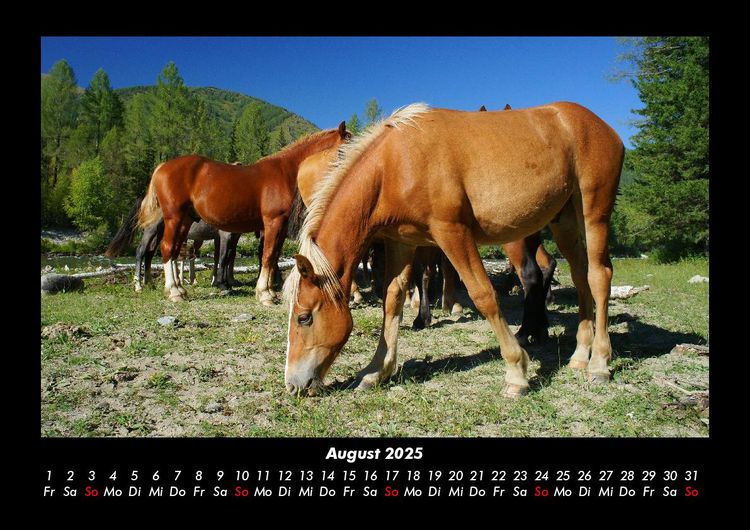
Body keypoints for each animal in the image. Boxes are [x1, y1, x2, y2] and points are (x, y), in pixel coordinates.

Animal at [136, 123, 351, 305]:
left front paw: (270, 291)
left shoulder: (280, 227)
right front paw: (264, 294)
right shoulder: (273, 222)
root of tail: (162, 167)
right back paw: (173, 291)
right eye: (346, 146)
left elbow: (274, 256)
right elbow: (267, 255)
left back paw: (179, 289)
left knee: (174, 251)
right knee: (166, 248)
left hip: (185, 221)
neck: (285, 171)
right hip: (174, 218)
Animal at [283, 102, 623, 398]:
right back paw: (579, 355)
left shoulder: (452, 233)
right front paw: (376, 370)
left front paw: (516, 373)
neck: (396, 162)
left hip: (594, 215)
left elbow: (483, 295)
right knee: (580, 278)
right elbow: (392, 300)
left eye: (304, 318)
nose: (293, 384)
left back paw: (599, 363)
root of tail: (601, 125)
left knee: (599, 277)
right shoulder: (402, 242)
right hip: (565, 222)